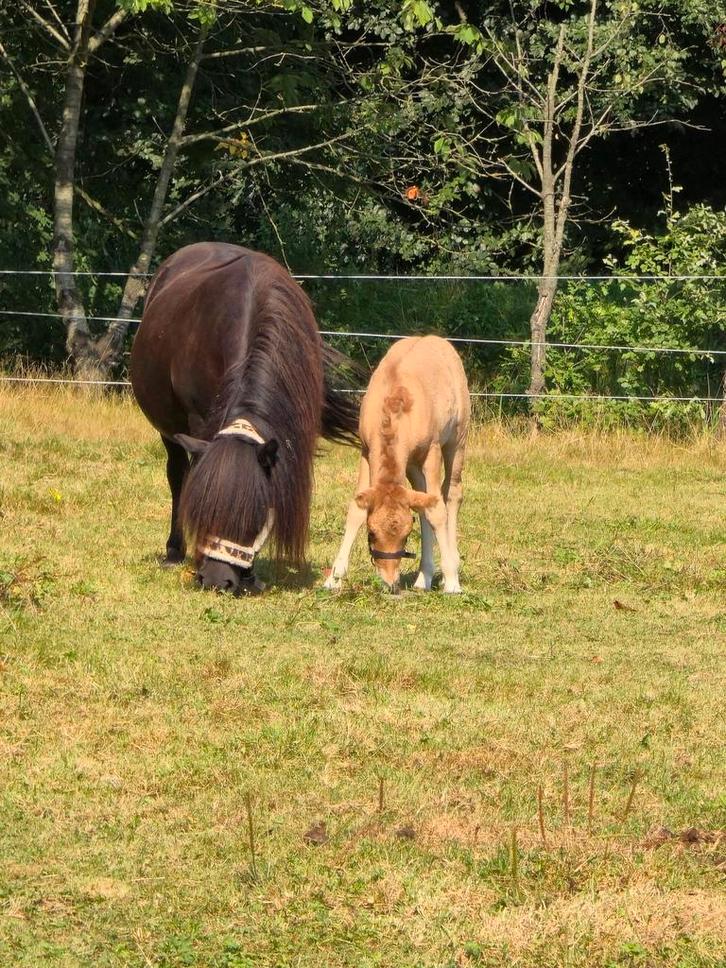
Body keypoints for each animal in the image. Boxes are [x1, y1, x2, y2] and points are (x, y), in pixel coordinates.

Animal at [130, 242, 359, 594]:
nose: (216, 580)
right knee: (178, 475)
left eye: (254, 513)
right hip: (169, 431)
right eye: (205, 508)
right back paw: (174, 550)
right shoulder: (199, 424)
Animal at [324, 335, 470, 594]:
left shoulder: (432, 451)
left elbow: (437, 511)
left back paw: (450, 568)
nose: (390, 582)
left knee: (451, 493)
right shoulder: (366, 450)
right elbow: (356, 509)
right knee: (422, 500)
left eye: (406, 535)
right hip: (411, 465)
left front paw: (452, 580)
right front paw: (334, 577)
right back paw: (424, 577)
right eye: (372, 532)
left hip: (457, 438)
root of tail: (438, 340)